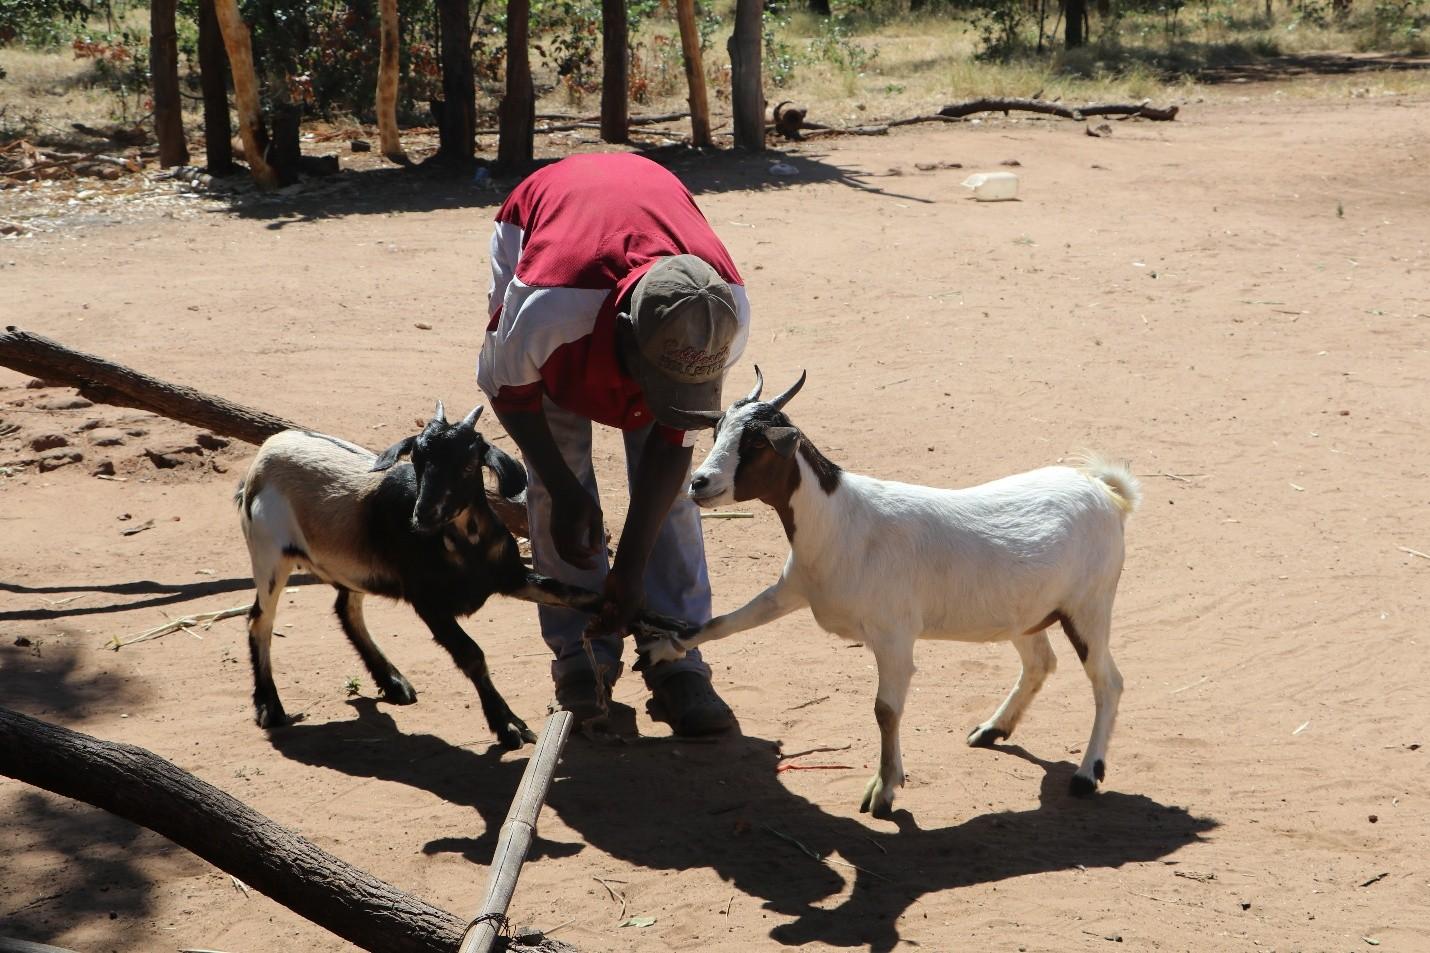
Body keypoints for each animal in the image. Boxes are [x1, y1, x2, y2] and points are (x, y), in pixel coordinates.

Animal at [237, 402, 691, 747]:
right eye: (418, 460)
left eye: (470, 463)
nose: (422, 515)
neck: (463, 543)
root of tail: (266, 453)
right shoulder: (427, 601)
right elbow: (472, 654)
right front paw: (508, 725)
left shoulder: (512, 577)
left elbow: (580, 595)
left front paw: (668, 623)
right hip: (268, 553)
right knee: (260, 619)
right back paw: (270, 706)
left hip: (348, 562)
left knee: (346, 606)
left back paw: (393, 681)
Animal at [641, 370, 1140, 815]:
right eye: (717, 431)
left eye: (759, 442)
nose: (699, 483)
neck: (840, 521)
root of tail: (1106, 491)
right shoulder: (791, 592)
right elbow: (721, 623)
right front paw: (663, 649)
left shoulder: (893, 636)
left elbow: (885, 710)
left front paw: (883, 790)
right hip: (1027, 612)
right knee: (1040, 663)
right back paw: (992, 730)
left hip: (1089, 607)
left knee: (1108, 681)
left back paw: (1087, 774)